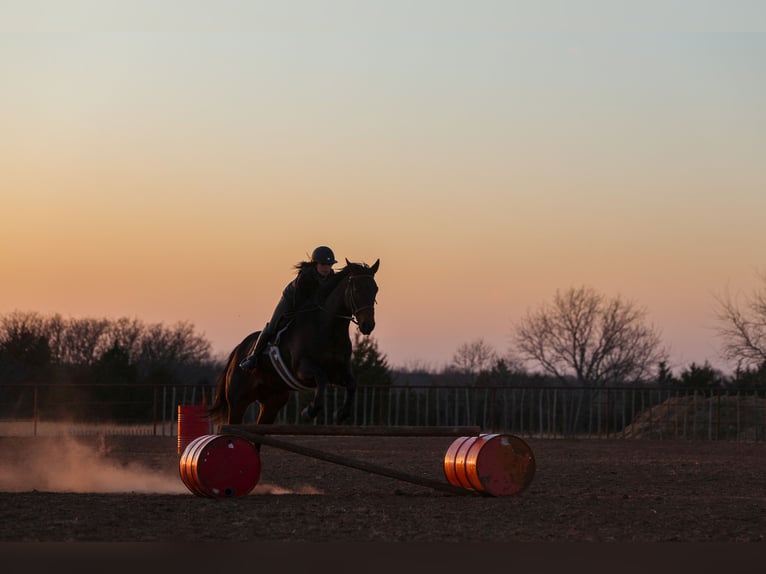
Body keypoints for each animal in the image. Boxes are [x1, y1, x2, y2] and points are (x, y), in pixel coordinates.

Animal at [209, 258, 380, 429]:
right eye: (356, 290)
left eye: (375, 290)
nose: (368, 326)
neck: (328, 329)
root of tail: (238, 351)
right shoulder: (302, 369)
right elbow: (321, 378)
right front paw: (309, 411)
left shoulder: (337, 372)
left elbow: (351, 384)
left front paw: (341, 414)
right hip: (237, 402)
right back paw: (249, 362)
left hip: (272, 403)